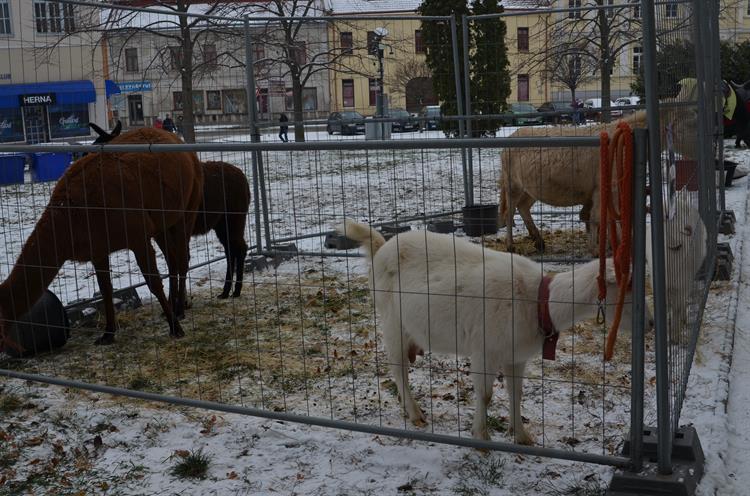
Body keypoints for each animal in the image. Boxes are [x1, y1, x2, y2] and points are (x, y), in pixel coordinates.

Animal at [338, 219, 632, 444]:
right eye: (626, 286)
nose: (644, 324)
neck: (537, 301)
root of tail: (380, 247)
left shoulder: (516, 356)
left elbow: (516, 393)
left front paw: (521, 436)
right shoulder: (483, 349)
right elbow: (486, 394)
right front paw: (481, 437)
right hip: (392, 321)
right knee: (397, 369)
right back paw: (415, 414)